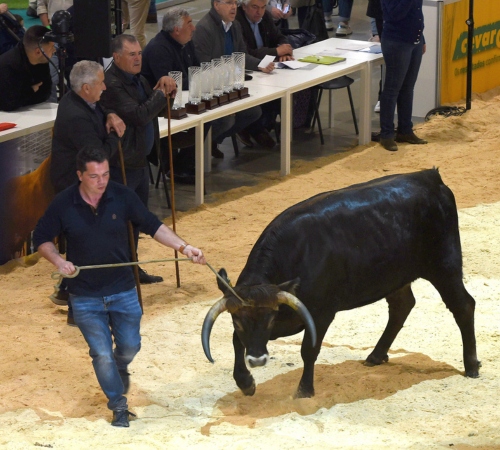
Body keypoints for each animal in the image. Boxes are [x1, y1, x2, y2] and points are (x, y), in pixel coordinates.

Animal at [202, 169, 480, 398]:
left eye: (270, 318)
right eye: (238, 320)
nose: (258, 360)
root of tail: (431, 178)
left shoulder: (321, 313)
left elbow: (309, 349)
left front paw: (304, 390)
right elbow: (237, 340)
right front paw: (245, 382)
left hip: (445, 266)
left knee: (463, 305)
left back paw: (471, 365)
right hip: (395, 276)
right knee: (402, 306)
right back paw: (376, 355)